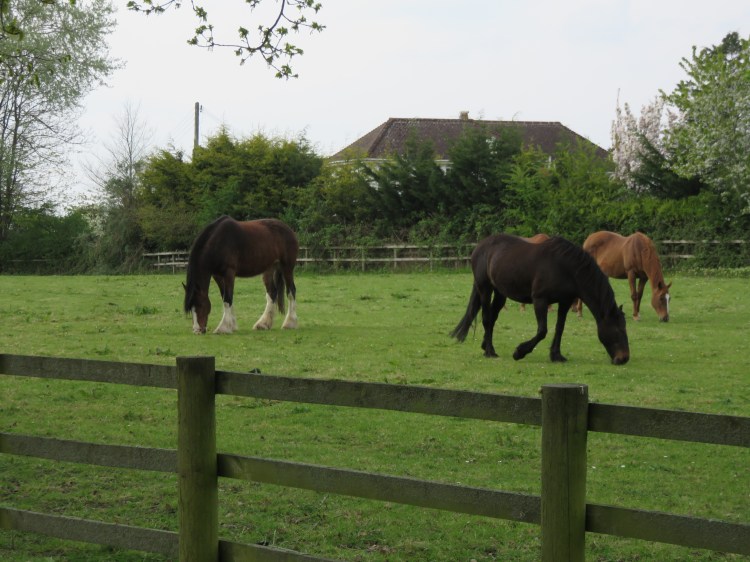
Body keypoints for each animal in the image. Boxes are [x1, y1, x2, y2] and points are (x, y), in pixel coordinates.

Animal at [451, 234, 629, 365]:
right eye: (618, 330)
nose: (624, 358)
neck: (565, 267)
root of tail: (480, 246)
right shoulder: (540, 300)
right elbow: (542, 330)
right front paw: (519, 352)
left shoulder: (564, 302)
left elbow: (559, 328)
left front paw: (556, 355)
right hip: (485, 289)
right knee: (487, 318)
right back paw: (490, 351)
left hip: (500, 293)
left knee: (493, 318)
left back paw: (485, 346)